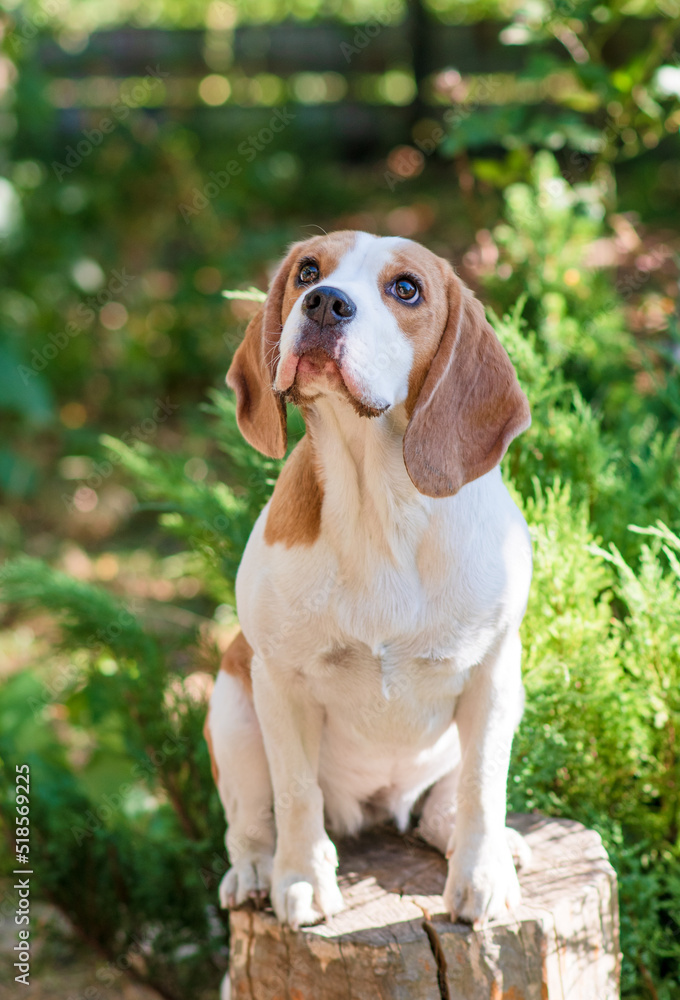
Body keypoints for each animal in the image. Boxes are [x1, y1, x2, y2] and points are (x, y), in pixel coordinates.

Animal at [205, 230, 532, 932]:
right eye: (307, 272)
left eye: (406, 288)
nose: (326, 303)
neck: (378, 505)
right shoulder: (280, 683)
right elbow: (295, 793)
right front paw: (301, 879)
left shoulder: (494, 675)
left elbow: (482, 788)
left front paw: (482, 875)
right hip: (231, 705)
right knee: (251, 819)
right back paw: (255, 869)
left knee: (448, 805)